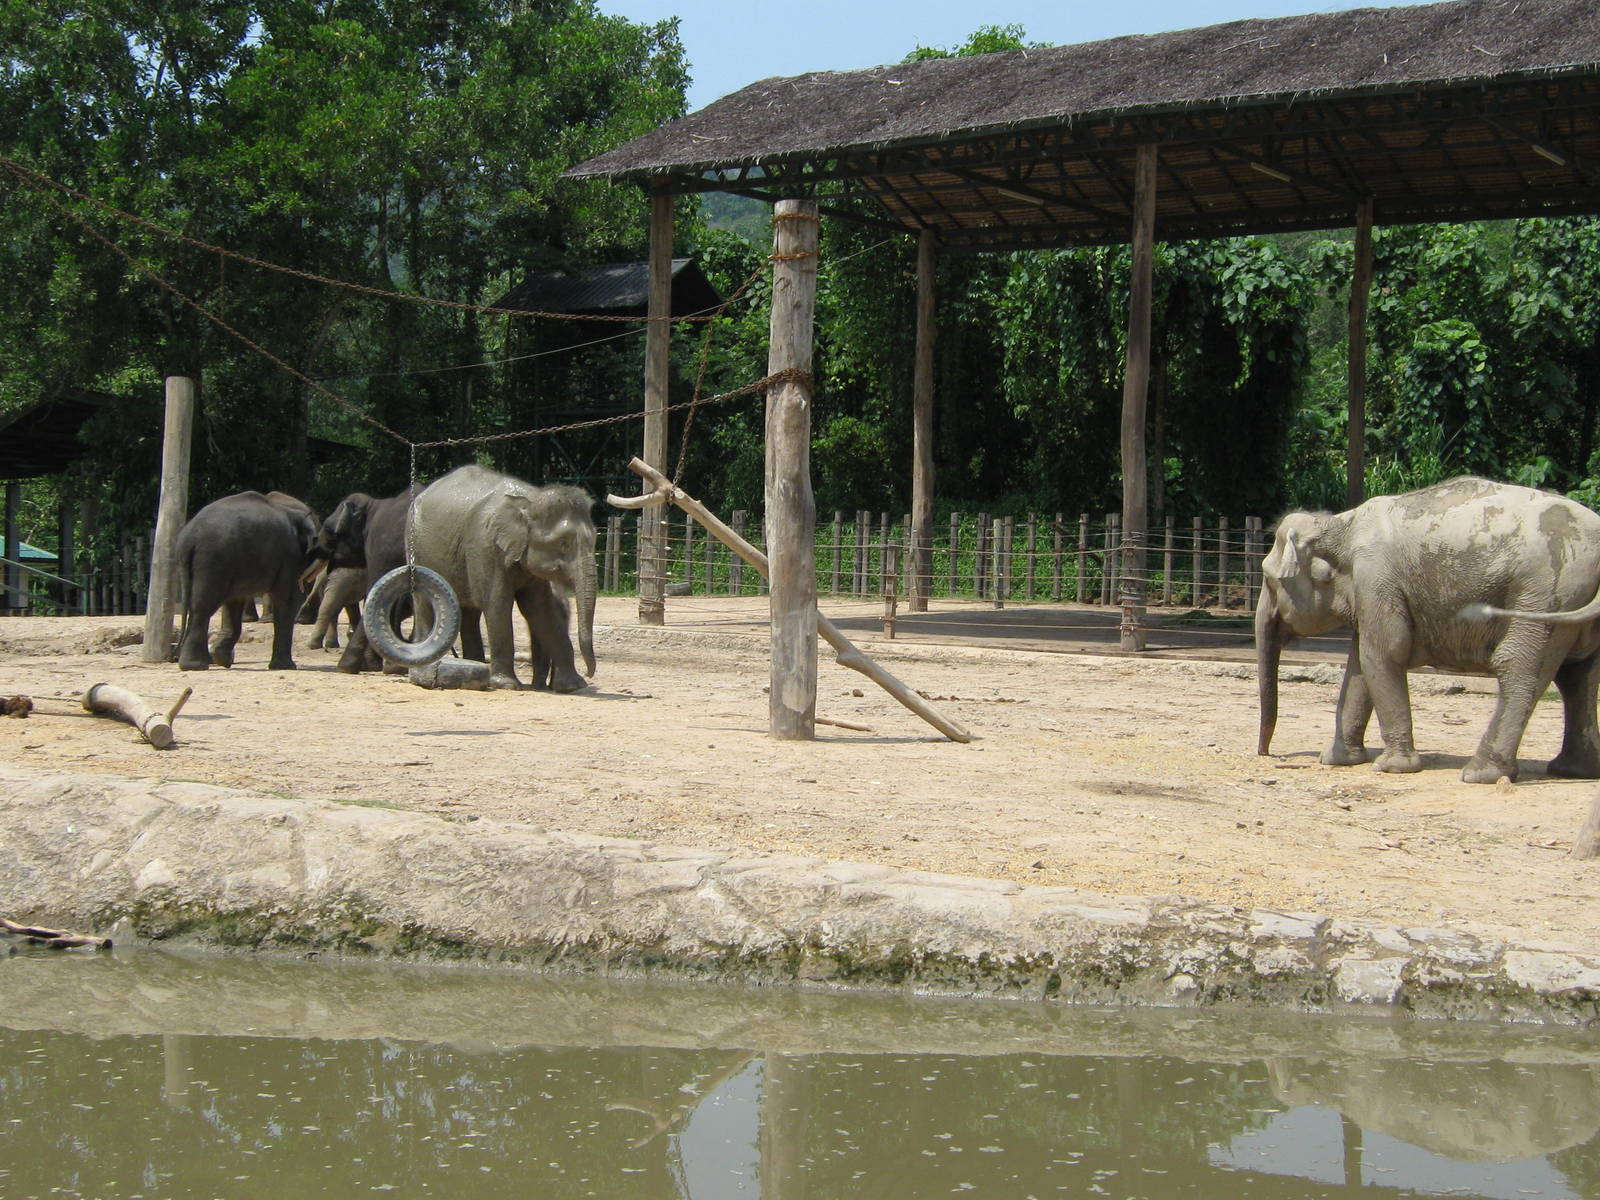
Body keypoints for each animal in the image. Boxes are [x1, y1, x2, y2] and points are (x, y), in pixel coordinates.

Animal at [174, 490, 319, 671]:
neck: (296, 514)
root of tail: (189, 538)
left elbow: (234, 603)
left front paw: (222, 659)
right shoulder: (290, 556)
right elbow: (288, 601)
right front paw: (286, 667)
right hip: (213, 560)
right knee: (203, 607)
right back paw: (195, 666)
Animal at [403, 464, 596, 692]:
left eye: (595, 538)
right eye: (563, 544)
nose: (590, 673)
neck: (530, 499)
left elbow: (540, 609)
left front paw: (573, 686)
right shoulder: (485, 546)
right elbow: (497, 604)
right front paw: (507, 685)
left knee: (469, 612)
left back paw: (475, 665)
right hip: (415, 547)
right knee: (425, 602)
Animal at [1256, 476, 1600, 783]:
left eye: (1270, 580)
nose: (1266, 754)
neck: (1339, 524)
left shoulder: (1376, 578)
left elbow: (1383, 654)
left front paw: (1391, 768)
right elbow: (1360, 664)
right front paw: (1336, 760)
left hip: (1544, 596)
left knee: (1521, 669)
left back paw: (1479, 774)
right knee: (1578, 676)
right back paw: (1574, 771)